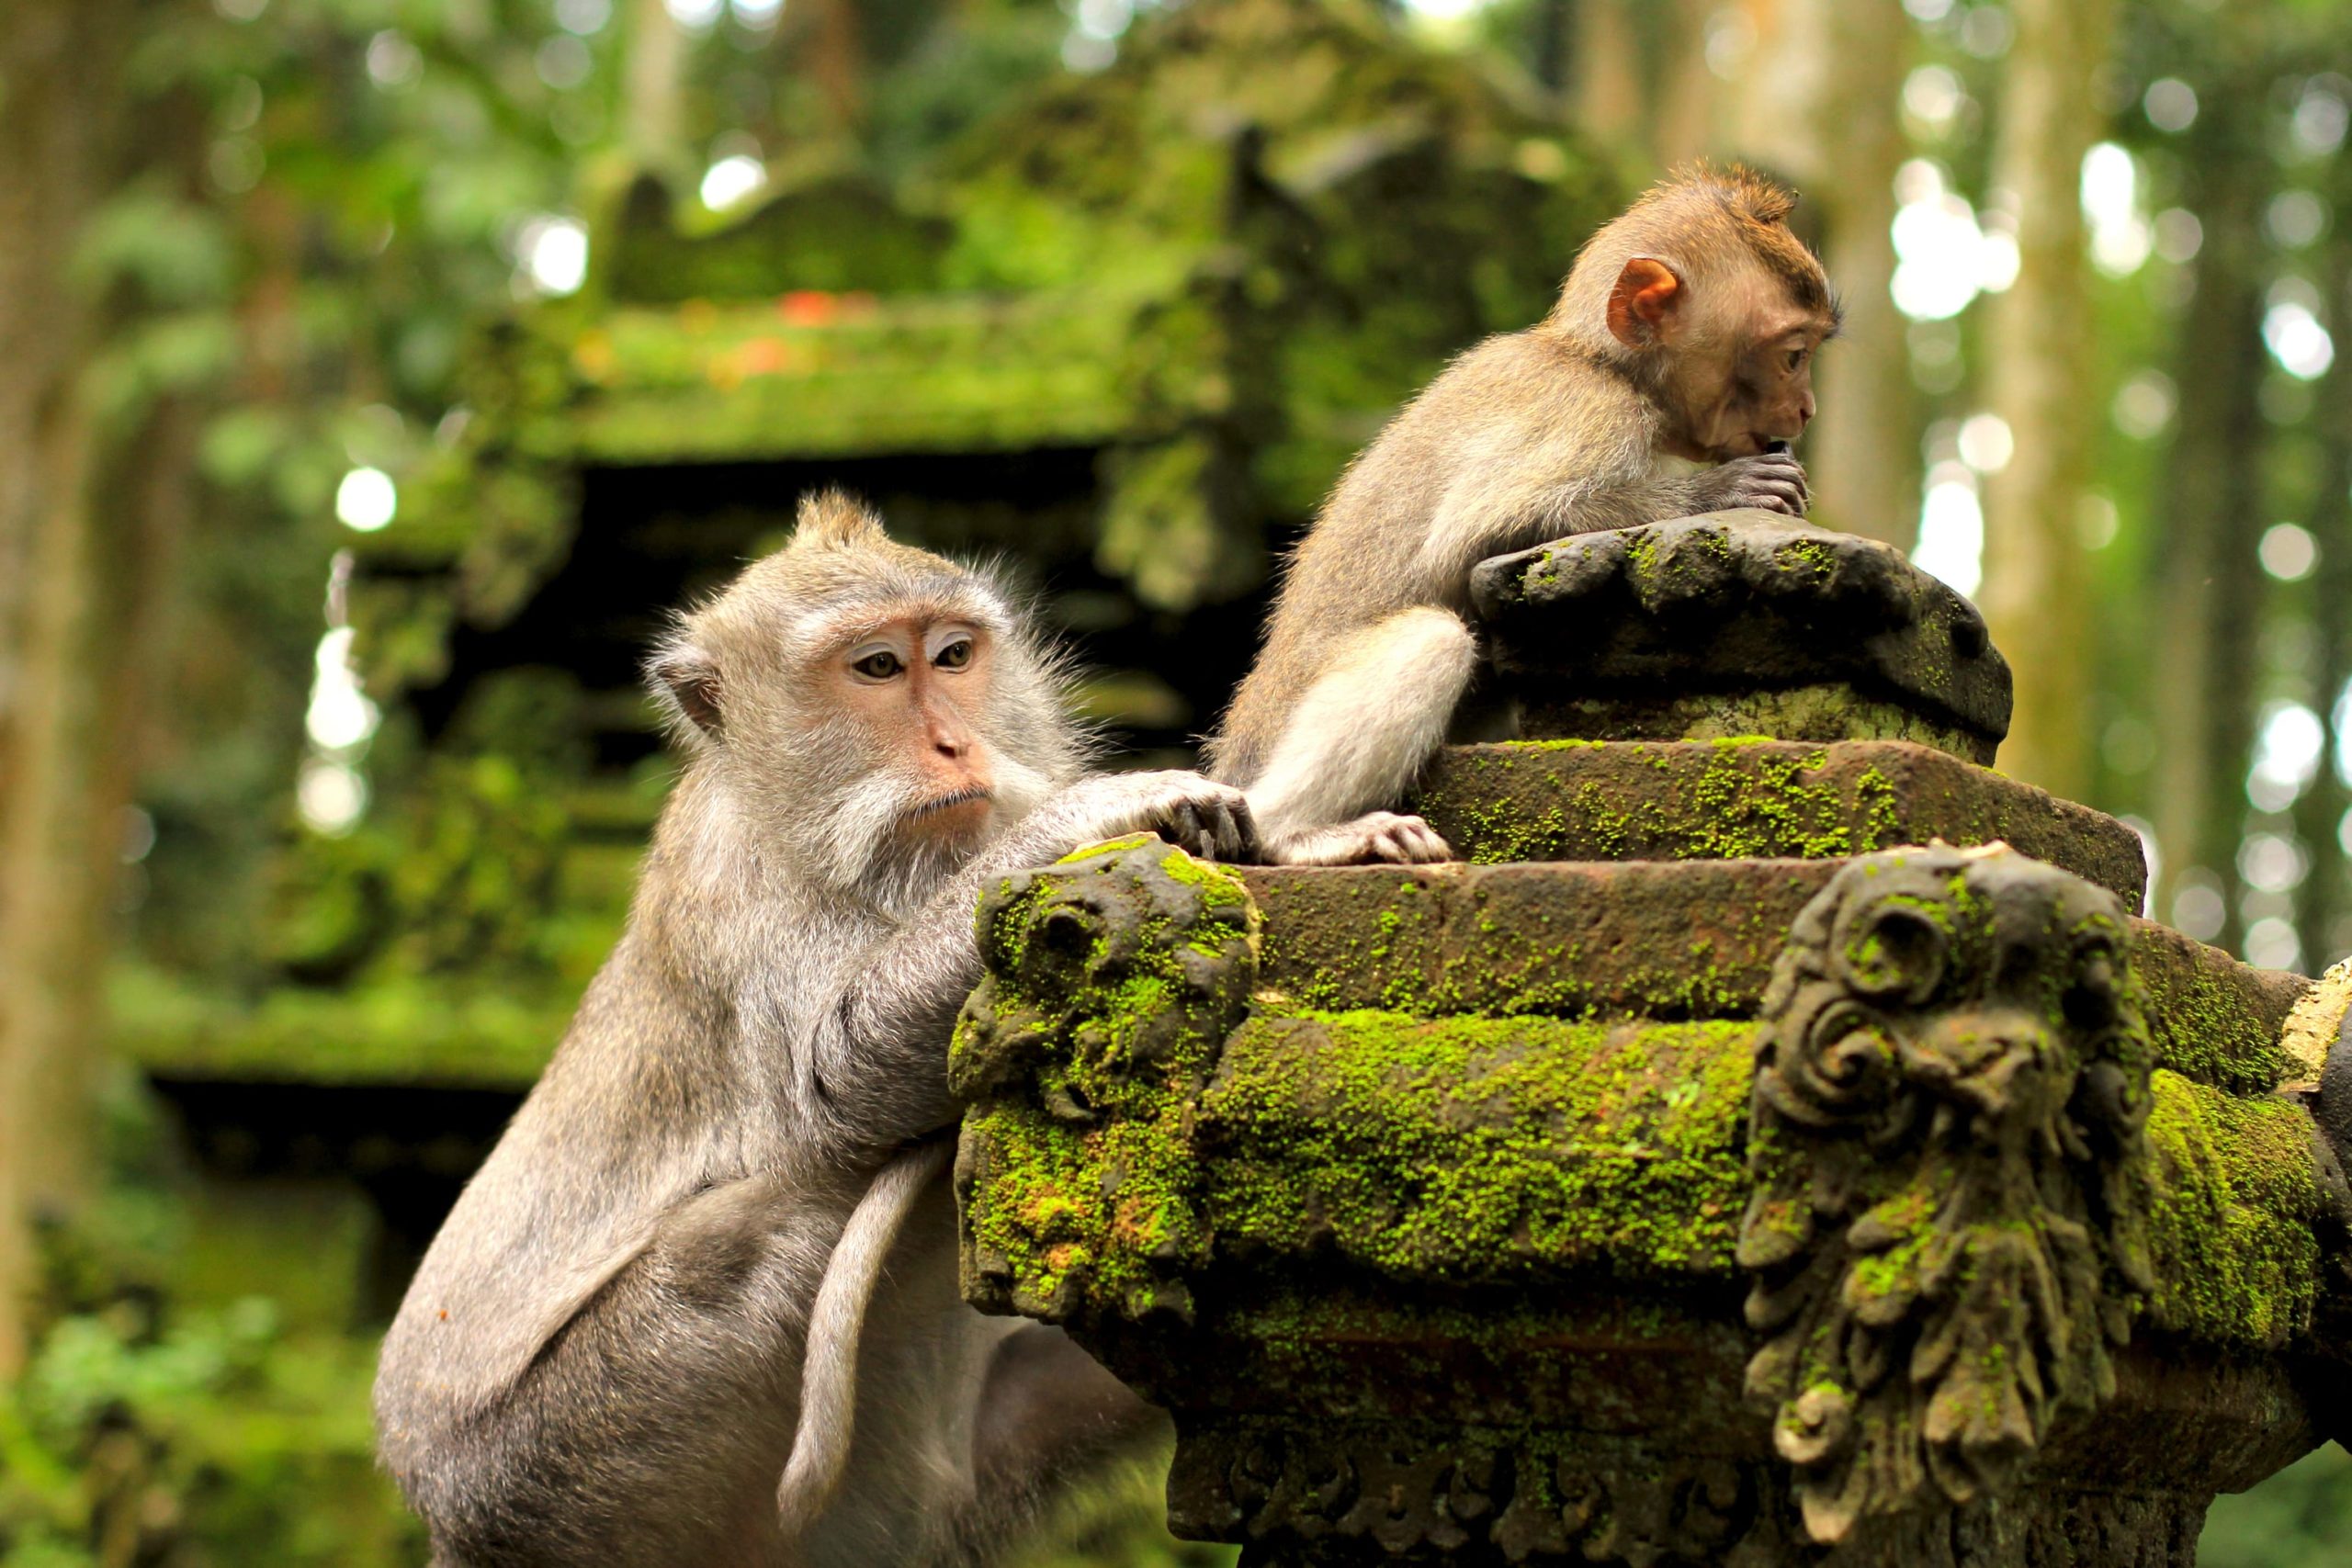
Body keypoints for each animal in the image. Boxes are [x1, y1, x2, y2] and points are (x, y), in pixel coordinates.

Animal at [1213, 169, 1834, 869]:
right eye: (1793, 355)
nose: (1806, 408)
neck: (1603, 363)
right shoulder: (1590, 412)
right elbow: (1477, 535)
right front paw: (1721, 491)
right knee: (1432, 639)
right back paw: (1296, 832)